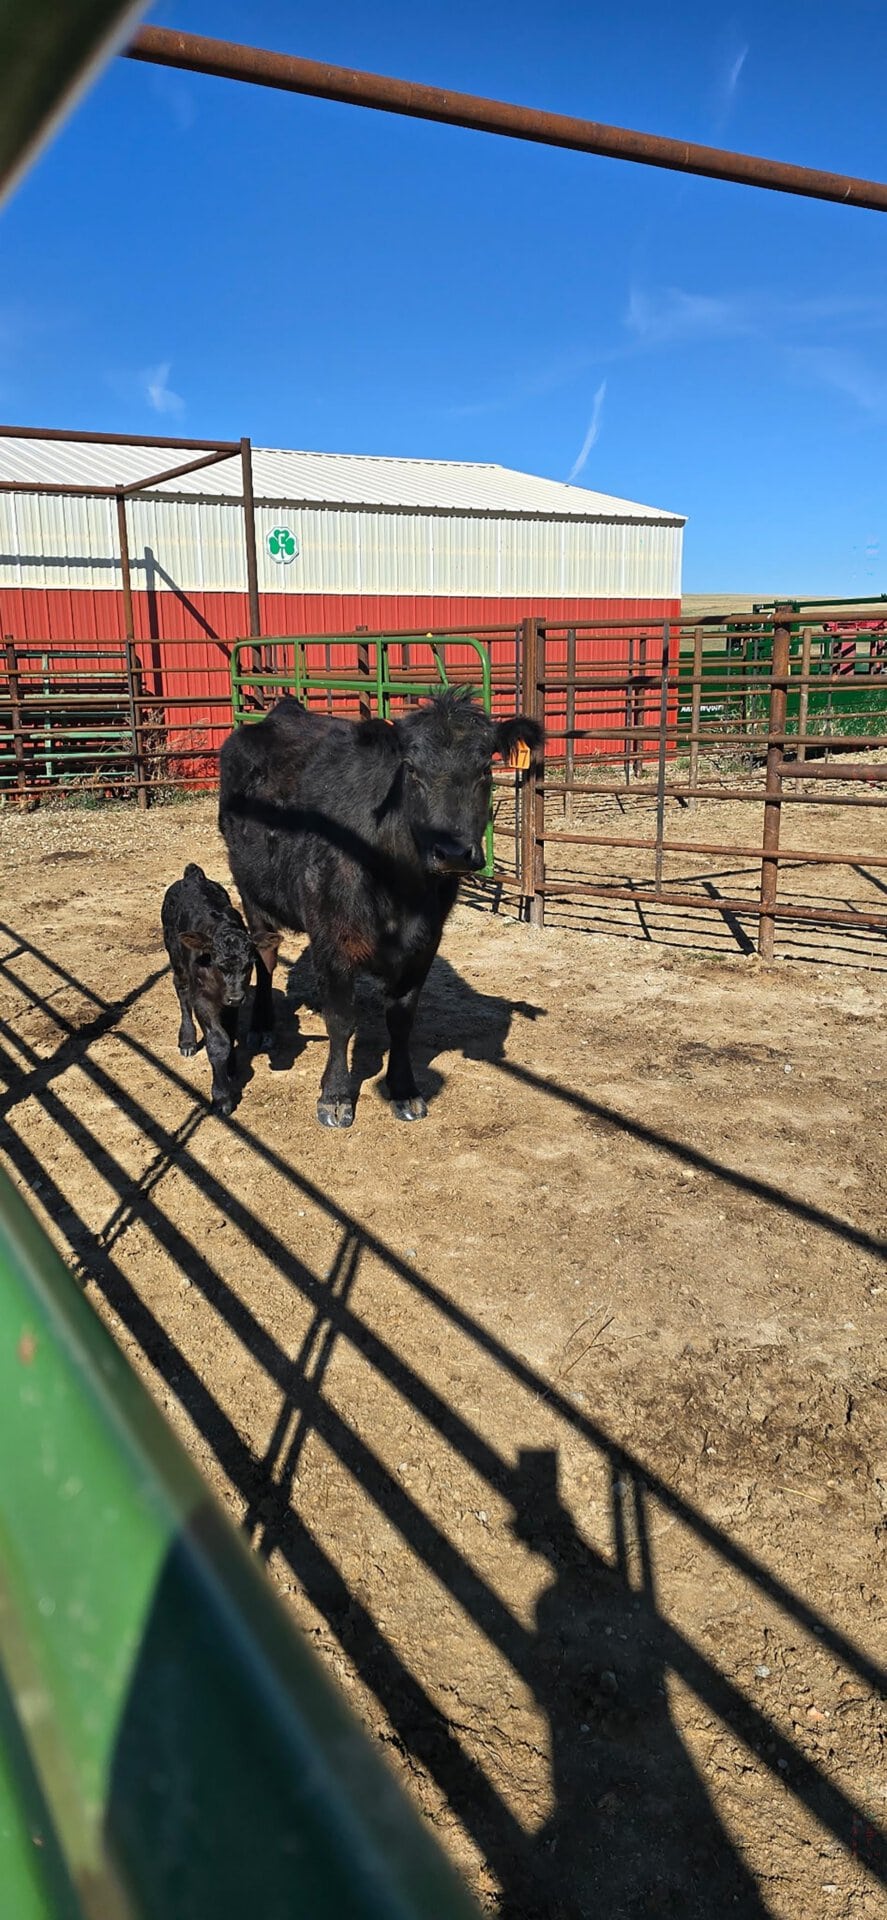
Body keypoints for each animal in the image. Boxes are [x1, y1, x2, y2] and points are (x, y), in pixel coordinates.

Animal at [161, 863, 254, 1115]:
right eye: (219, 964)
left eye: (249, 965)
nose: (235, 997)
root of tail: (193, 876)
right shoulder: (203, 998)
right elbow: (218, 1041)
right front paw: (222, 1098)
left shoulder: (234, 1001)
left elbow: (229, 1032)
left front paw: (231, 1068)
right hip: (176, 959)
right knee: (182, 991)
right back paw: (187, 1041)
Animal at [218, 688, 542, 1129]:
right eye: (412, 769)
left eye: (486, 768)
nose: (454, 852)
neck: (399, 889)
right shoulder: (332, 938)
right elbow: (341, 1020)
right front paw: (336, 1096)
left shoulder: (425, 943)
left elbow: (401, 1020)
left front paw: (404, 1090)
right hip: (251, 892)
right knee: (266, 957)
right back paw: (263, 1026)